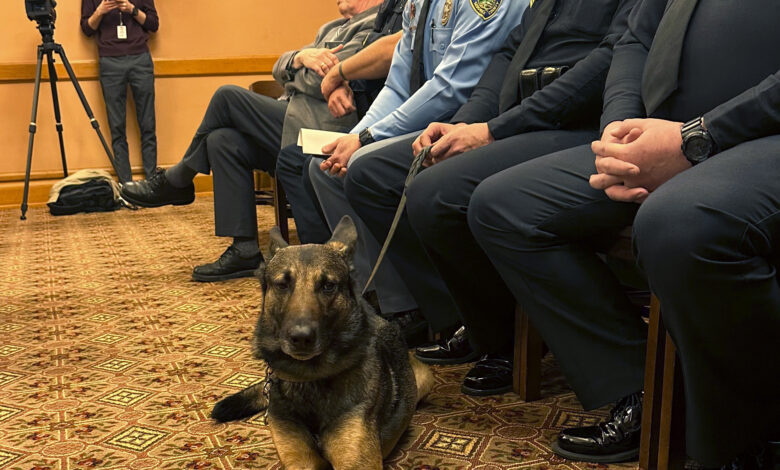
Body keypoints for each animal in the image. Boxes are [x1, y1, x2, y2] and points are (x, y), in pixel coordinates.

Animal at [210, 218, 436, 470]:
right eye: (282, 285)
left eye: (328, 285)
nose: (301, 338)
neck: (310, 377)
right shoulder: (299, 460)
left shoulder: (358, 462)